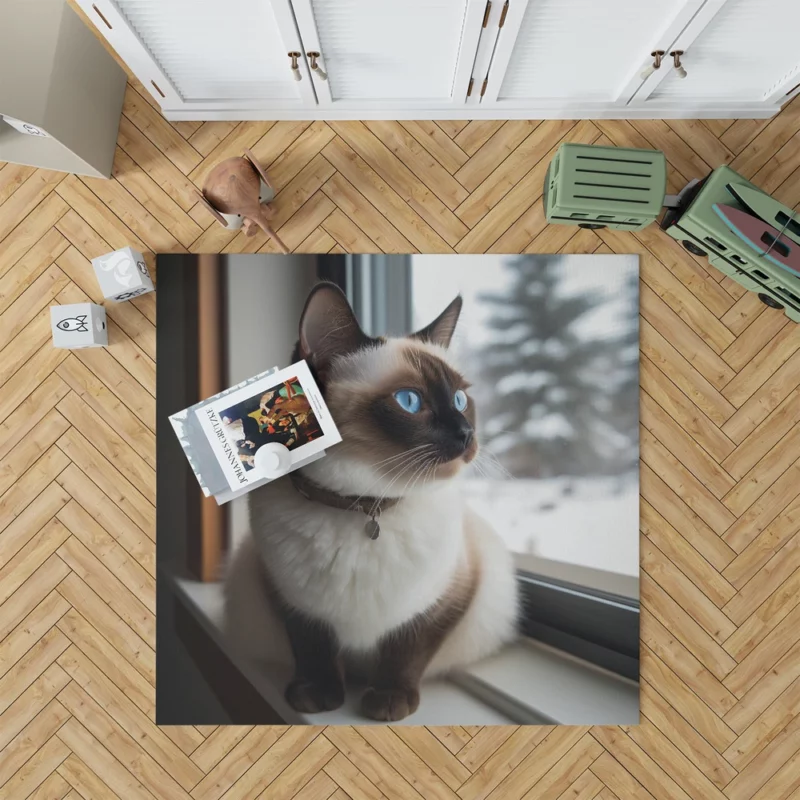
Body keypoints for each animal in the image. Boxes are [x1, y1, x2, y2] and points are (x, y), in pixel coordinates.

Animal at [223, 284, 520, 720]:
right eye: (409, 401)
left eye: (461, 400)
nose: (467, 435)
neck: (365, 505)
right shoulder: (289, 599)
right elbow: (312, 648)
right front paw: (316, 697)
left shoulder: (445, 599)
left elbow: (406, 651)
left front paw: (388, 702)